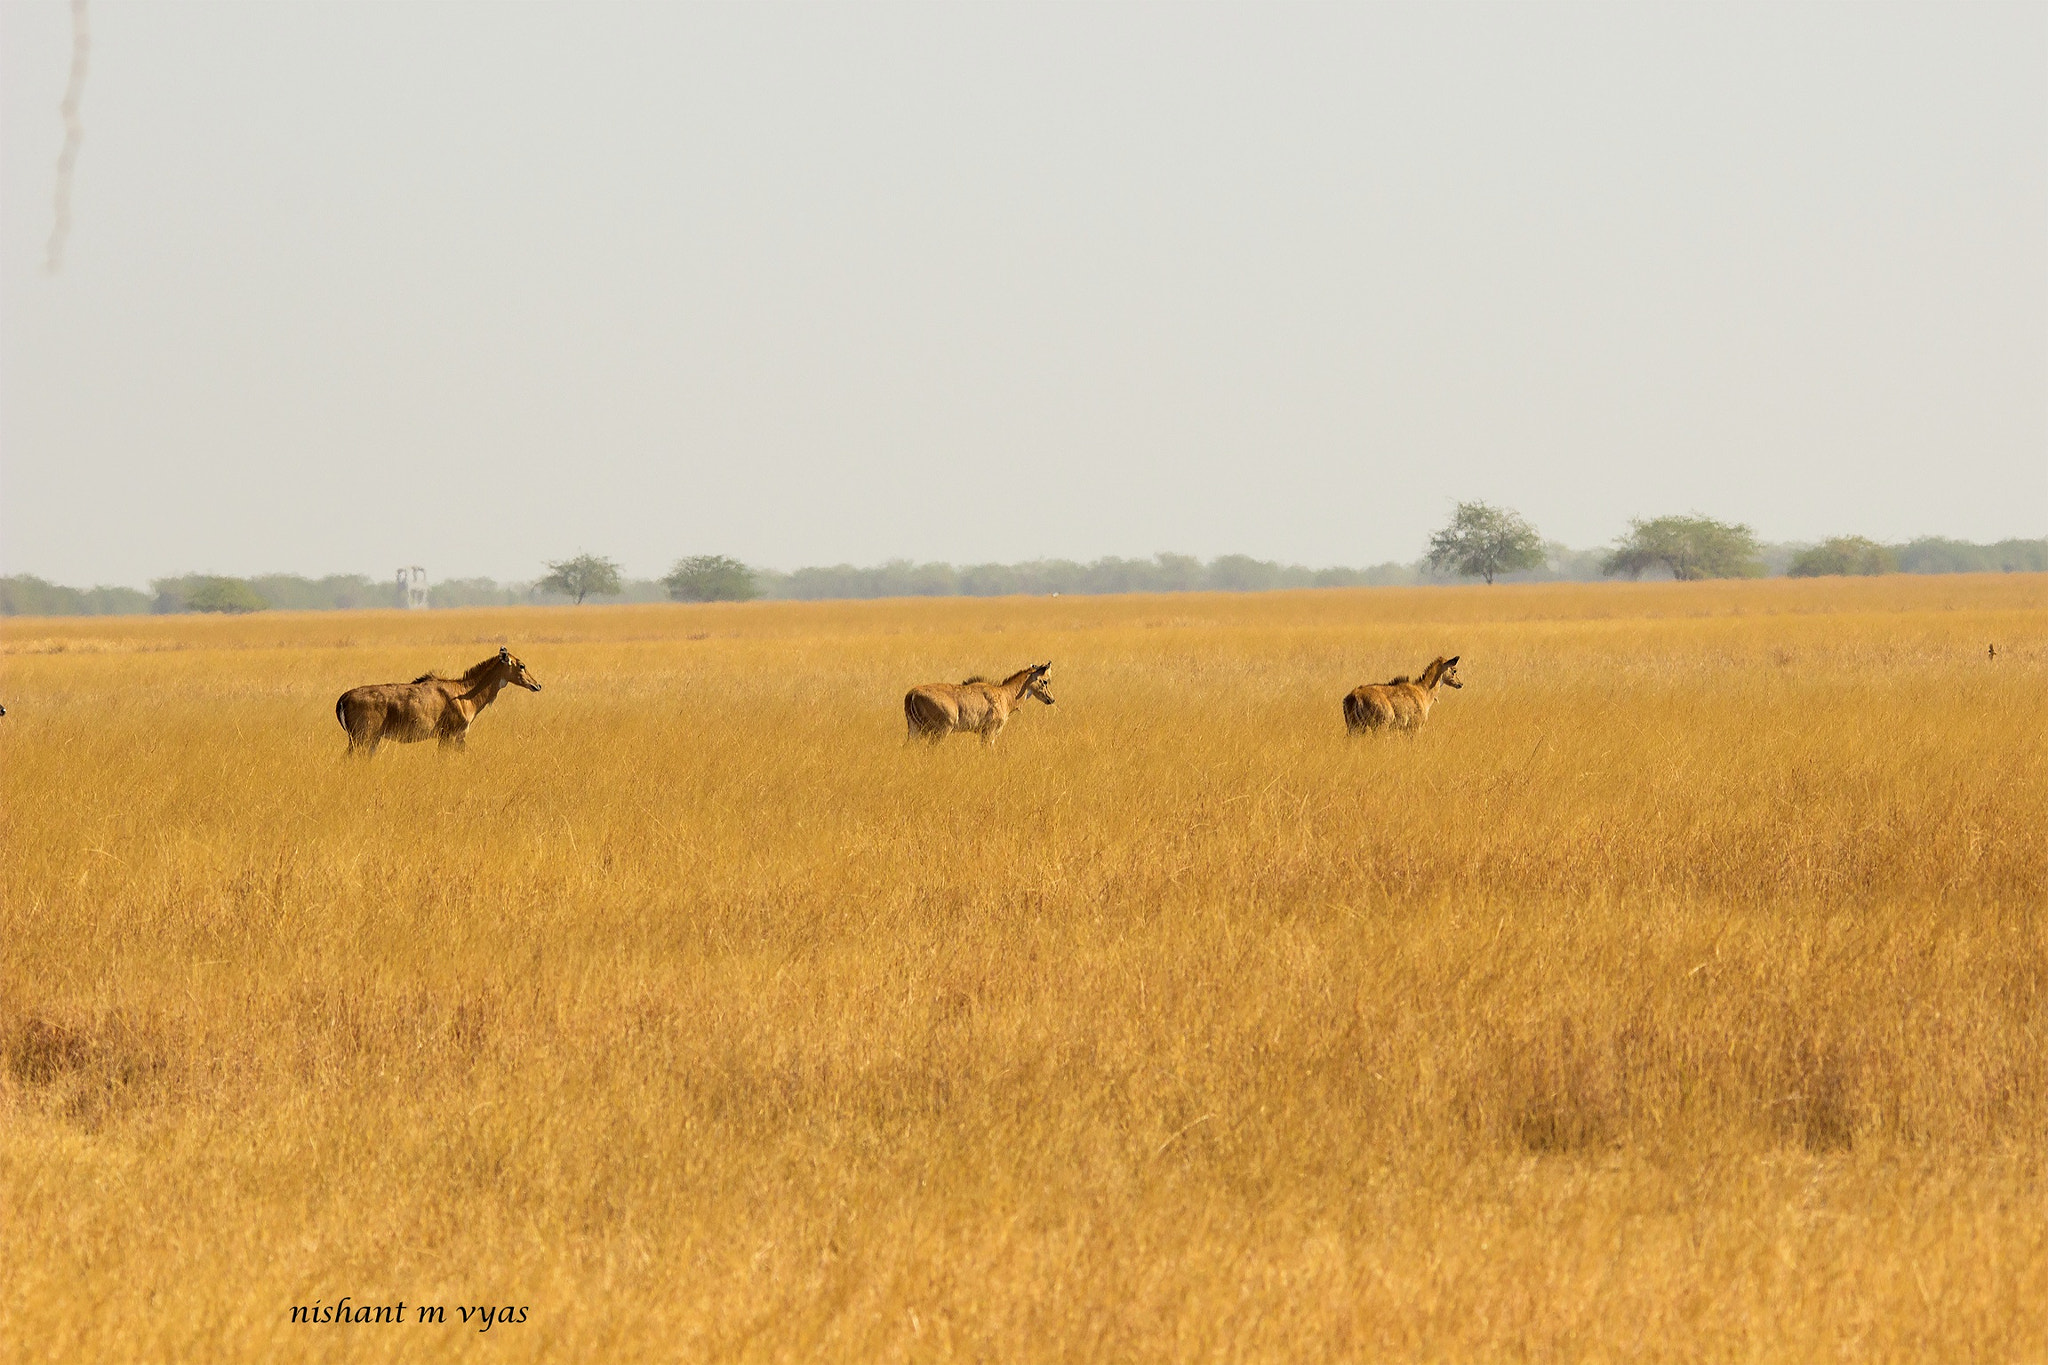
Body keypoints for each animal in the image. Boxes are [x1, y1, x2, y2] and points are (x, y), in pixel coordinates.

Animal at [329, 650, 536, 757]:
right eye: (522, 665)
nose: (537, 685)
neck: (464, 694)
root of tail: (343, 698)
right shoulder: (451, 734)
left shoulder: (455, 737)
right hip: (361, 738)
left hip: (370, 740)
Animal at [909, 663, 1056, 749]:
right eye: (1045, 681)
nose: (1051, 699)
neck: (1005, 694)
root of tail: (912, 694)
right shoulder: (989, 732)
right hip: (940, 731)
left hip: (915, 731)